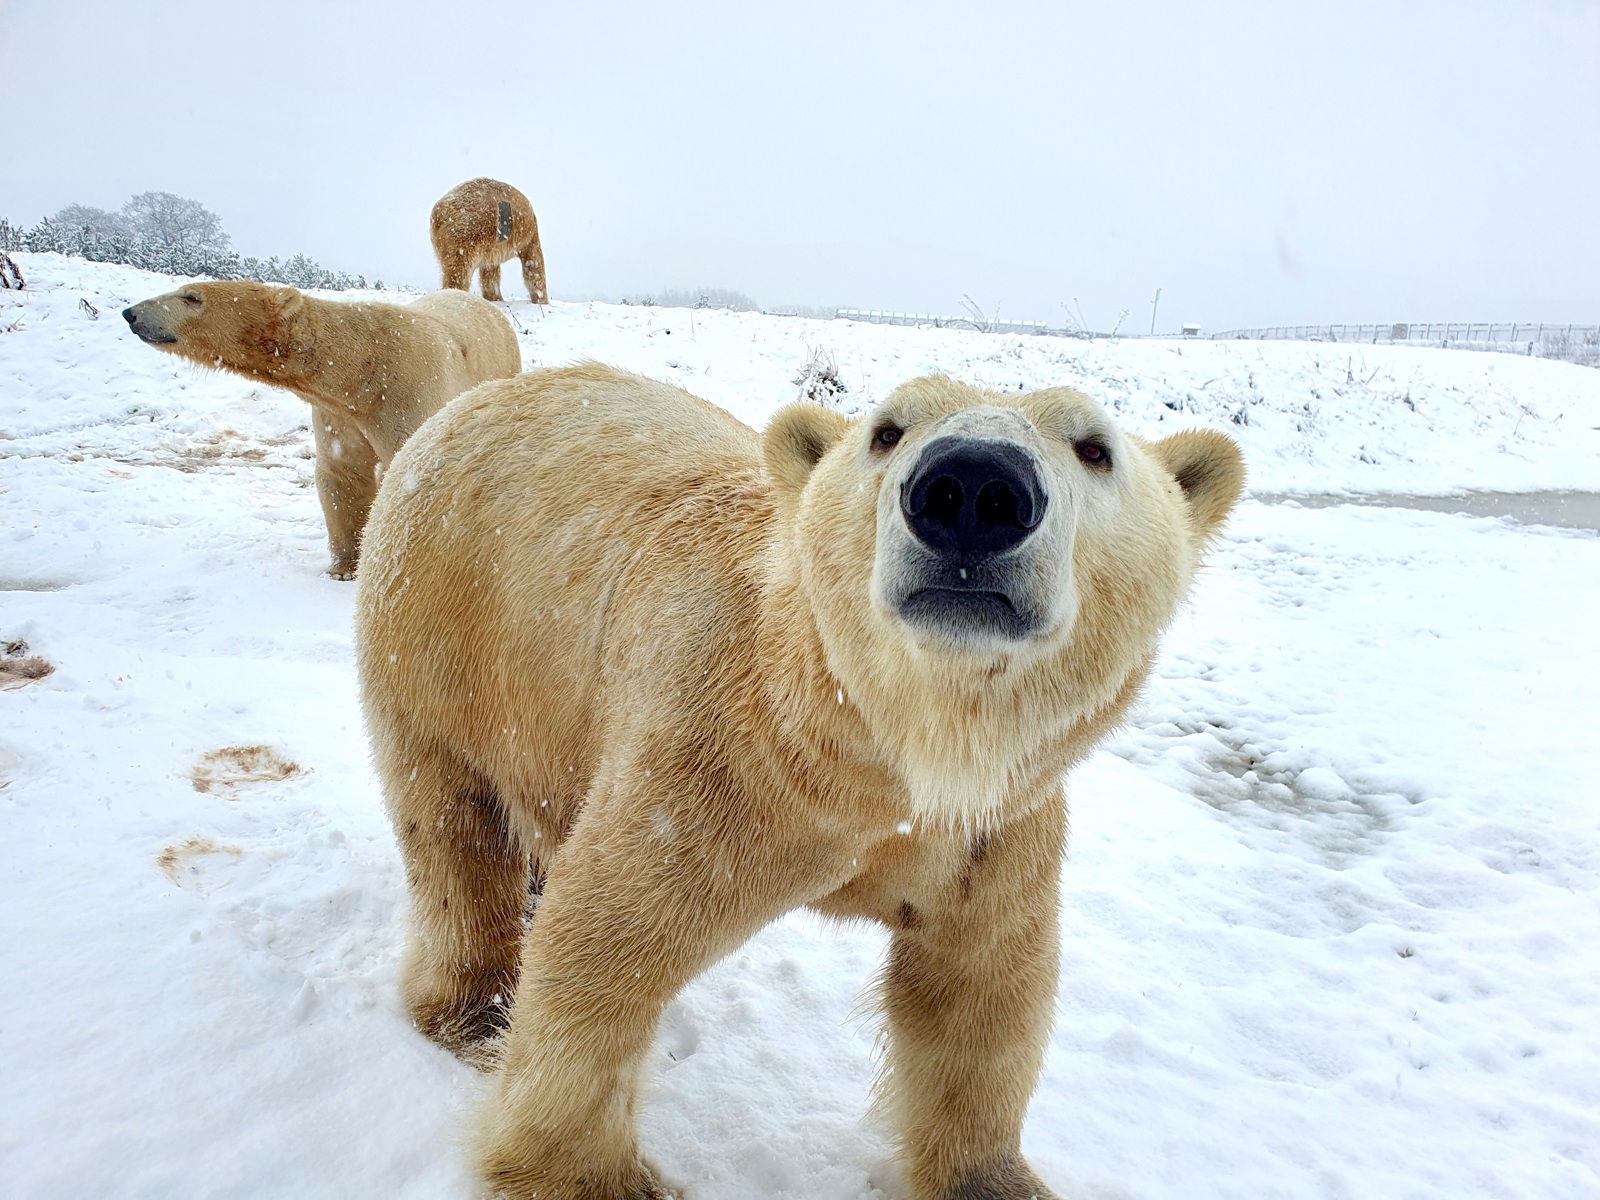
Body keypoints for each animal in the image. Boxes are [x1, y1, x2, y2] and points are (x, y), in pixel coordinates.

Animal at [129, 284, 524, 579]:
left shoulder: (410, 387)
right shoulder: (339, 412)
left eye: (191, 296)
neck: (361, 370)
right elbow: (342, 470)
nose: (131, 313)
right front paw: (346, 567)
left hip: (499, 369)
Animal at [356, 366, 1241, 1200]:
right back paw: (477, 1011)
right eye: (886, 429)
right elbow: (606, 946)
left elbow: (981, 993)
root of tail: (480, 400)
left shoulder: (993, 824)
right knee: (453, 830)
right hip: (444, 633)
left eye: (1095, 447)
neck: (880, 756)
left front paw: (998, 1181)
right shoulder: (716, 764)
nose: (972, 489)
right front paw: (594, 1178)